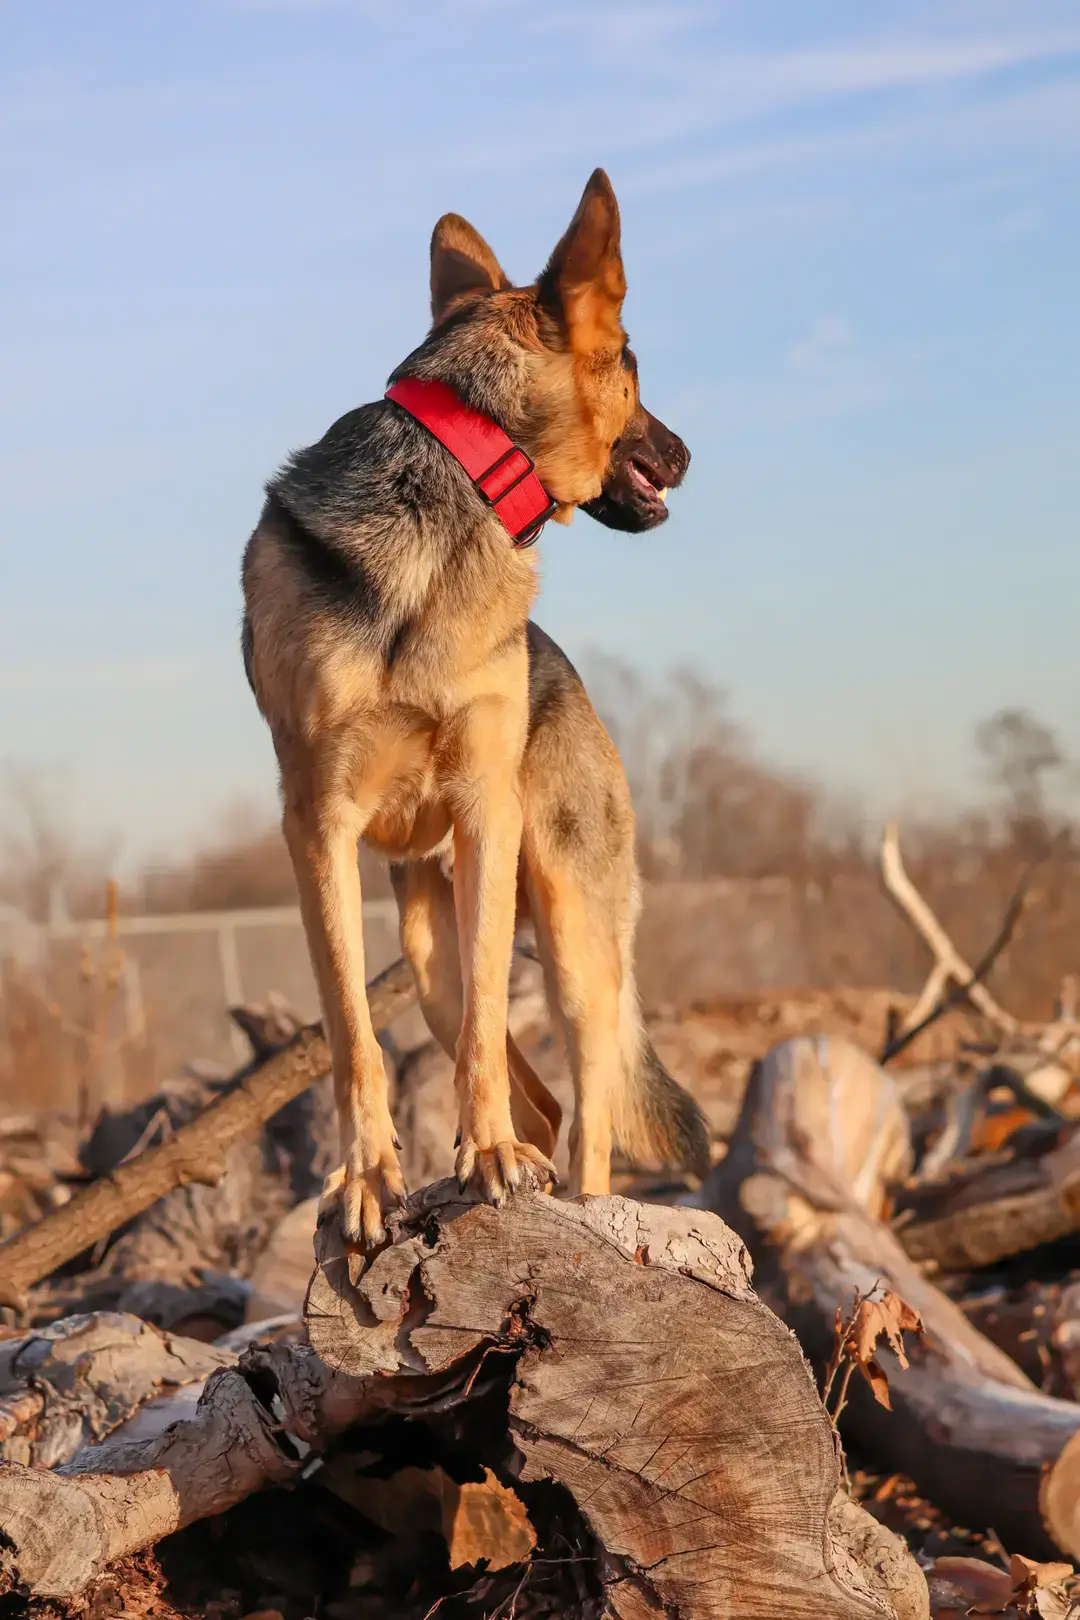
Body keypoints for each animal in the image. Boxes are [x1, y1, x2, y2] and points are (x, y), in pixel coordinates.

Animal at [242, 170, 709, 1244]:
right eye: (632, 363)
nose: (687, 453)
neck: (456, 468)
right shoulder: (318, 830)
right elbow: (351, 1034)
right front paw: (369, 1178)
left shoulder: (484, 813)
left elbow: (486, 1035)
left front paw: (486, 1155)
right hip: (427, 956)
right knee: (531, 1088)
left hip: (574, 939)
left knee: (585, 1111)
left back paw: (570, 1196)